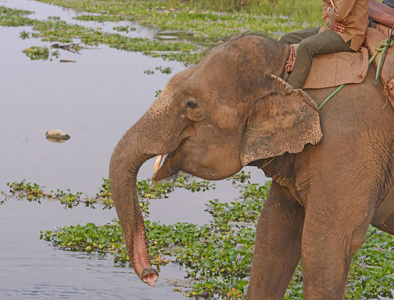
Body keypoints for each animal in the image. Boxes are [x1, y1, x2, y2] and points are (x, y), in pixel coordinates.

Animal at [108, 34, 394, 298]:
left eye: (191, 105)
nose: (151, 274)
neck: (285, 66)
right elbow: (273, 233)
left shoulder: (348, 145)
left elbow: (325, 247)